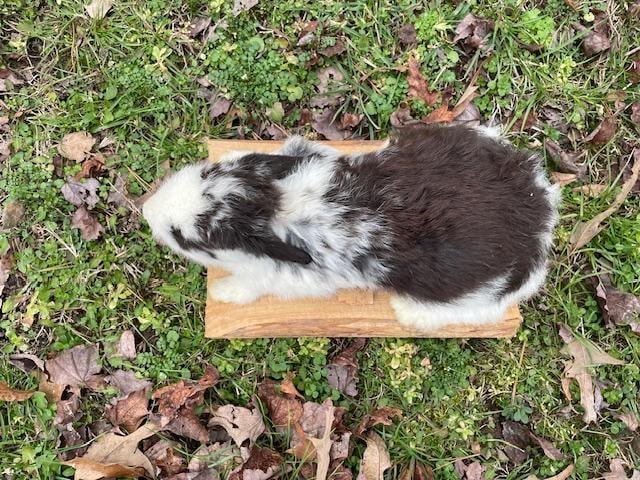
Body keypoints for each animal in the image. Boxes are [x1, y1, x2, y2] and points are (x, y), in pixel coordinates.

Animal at [142, 123, 560, 331]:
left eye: (185, 238)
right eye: (206, 171)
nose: (147, 210)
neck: (283, 205)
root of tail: (541, 213)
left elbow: (251, 286)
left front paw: (224, 293)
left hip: (465, 295)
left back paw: (408, 314)